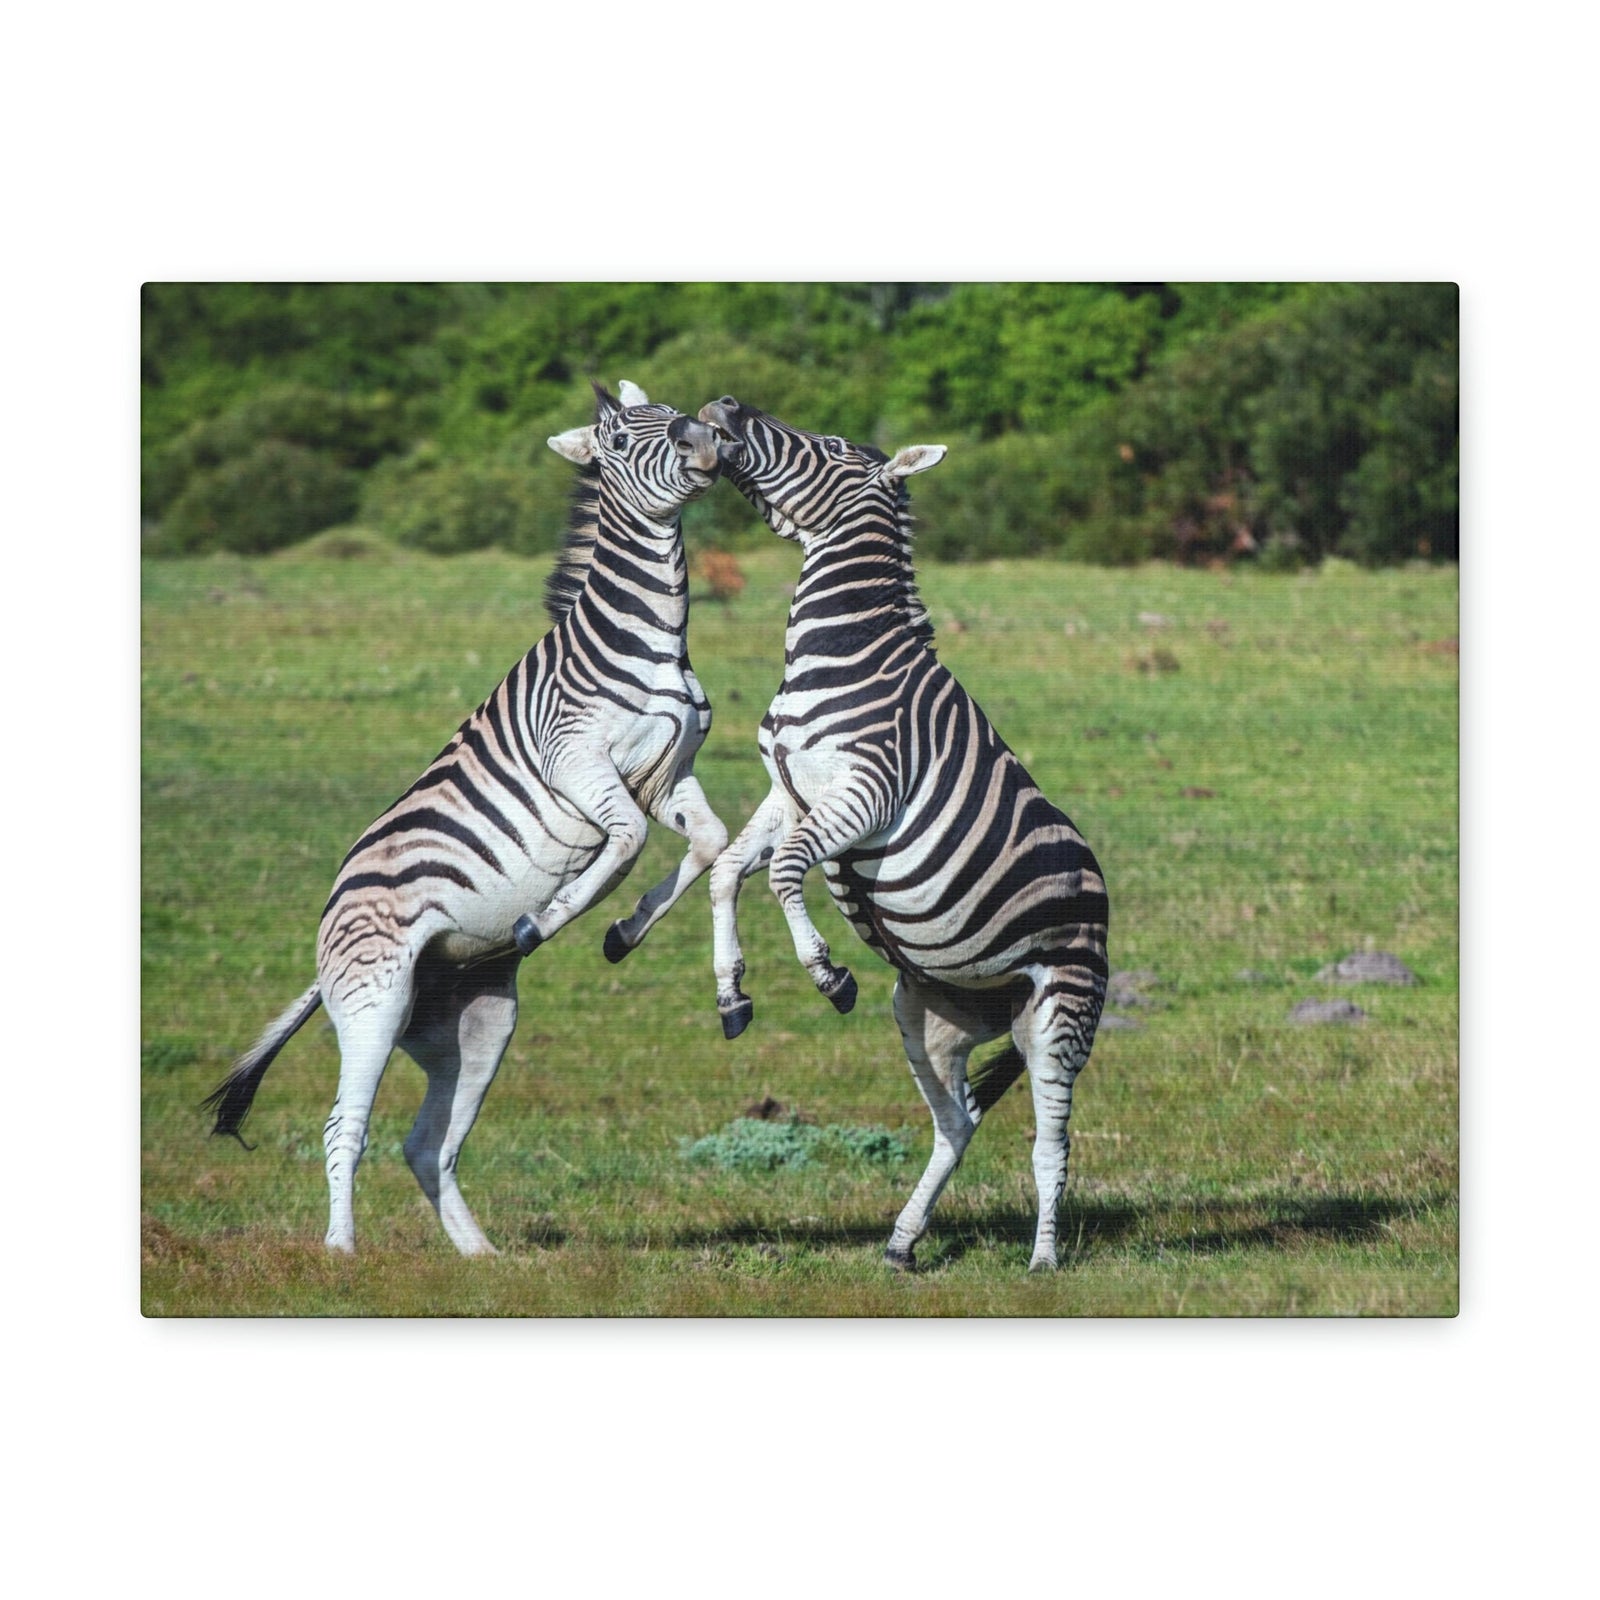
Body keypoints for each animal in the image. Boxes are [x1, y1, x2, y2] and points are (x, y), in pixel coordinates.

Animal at [203, 381, 730, 1256]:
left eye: (674, 412)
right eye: (624, 439)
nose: (707, 443)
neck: (651, 639)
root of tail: (330, 916)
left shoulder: (667, 775)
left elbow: (709, 844)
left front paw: (629, 935)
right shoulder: (578, 763)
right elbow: (623, 844)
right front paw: (549, 917)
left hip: (474, 1021)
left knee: (430, 1143)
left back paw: (480, 1256)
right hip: (374, 1002)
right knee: (344, 1125)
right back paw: (341, 1252)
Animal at [697, 396, 1110, 1272]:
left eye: (825, 445)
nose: (722, 408)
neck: (840, 647)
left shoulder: (865, 791)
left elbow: (783, 872)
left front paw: (824, 971)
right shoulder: (787, 791)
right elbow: (727, 873)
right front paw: (731, 992)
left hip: (1061, 1010)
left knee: (1051, 1142)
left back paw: (1044, 1261)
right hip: (931, 1014)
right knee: (956, 1121)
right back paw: (900, 1242)